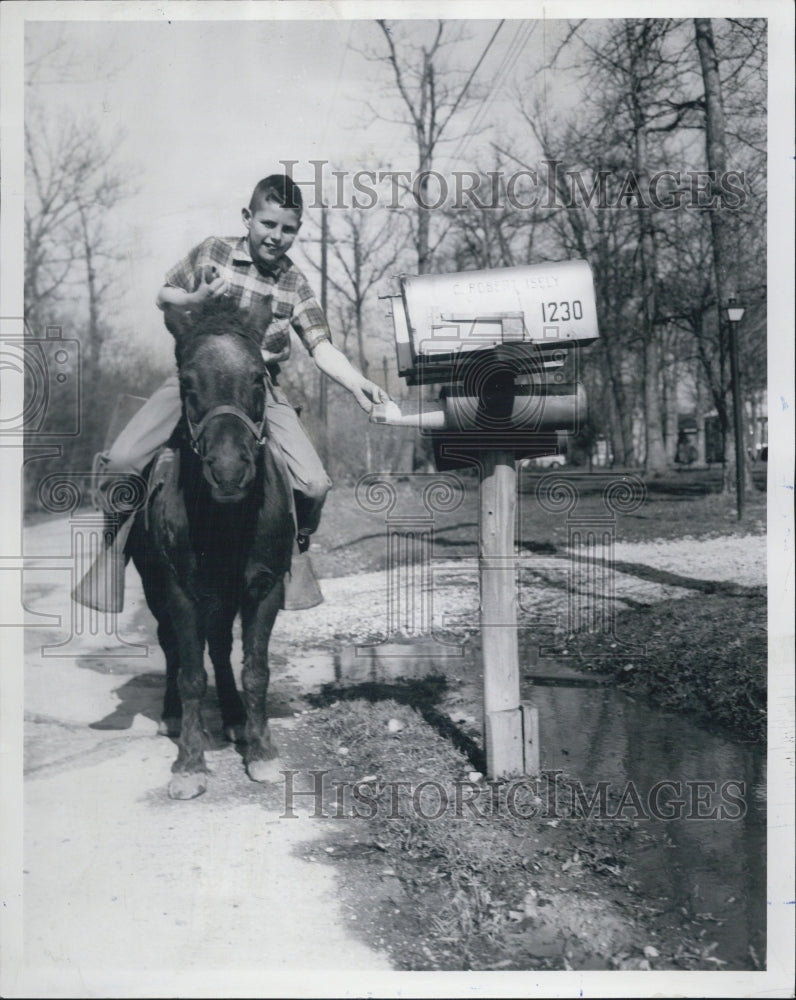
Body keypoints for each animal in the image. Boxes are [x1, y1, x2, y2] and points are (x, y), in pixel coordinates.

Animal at [128, 290, 296, 796]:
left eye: (258, 378)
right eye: (186, 382)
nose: (228, 470)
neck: (225, 520)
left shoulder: (264, 587)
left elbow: (255, 669)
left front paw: (261, 752)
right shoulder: (180, 591)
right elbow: (189, 674)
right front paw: (189, 763)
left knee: (220, 646)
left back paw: (237, 718)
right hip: (157, 588)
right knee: (171, 646)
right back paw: (172, 716)